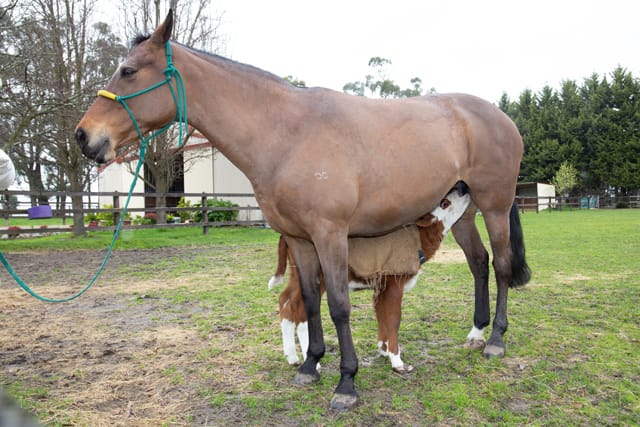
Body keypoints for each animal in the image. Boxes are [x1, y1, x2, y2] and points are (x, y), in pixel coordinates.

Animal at [269, 184, 471, 373]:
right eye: (444, 202)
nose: (462, 187)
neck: (418, 238)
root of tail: (288, 235)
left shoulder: (382, 286)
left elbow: (382, 314)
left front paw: (383, 350)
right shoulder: (394, 282)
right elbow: (394, 319)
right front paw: (397, 361)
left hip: (296, 276)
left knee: (286, 302)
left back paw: (292, 357)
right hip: (317, 277)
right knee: (300, 311)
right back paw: (311, 362)